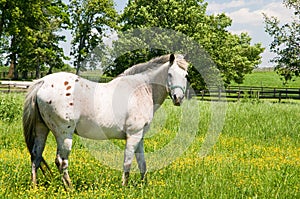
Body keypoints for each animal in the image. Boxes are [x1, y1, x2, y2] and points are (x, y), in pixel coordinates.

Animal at [22, 52, 188, 188]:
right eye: (170, 74)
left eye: (186, 75)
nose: (178, 98)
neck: (142, 89)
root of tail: (43, 82)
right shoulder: (133, 135)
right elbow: (128, 162)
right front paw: (124, 187)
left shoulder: (139, 137)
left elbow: (142, 163)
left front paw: (144, 186)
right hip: (64, 134)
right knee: (61, 161)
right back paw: (69, 188)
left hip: (41, 129)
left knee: (36, 156)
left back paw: (35, 187)